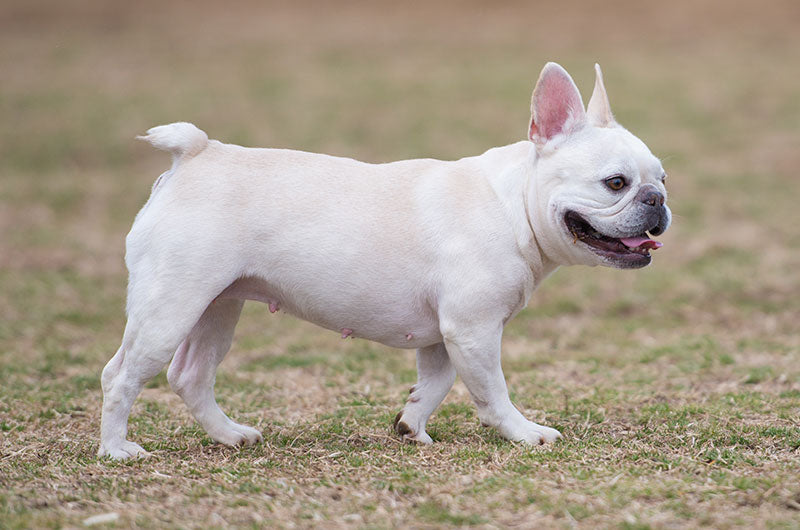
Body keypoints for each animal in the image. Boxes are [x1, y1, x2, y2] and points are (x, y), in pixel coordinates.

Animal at [98, 63, 668, 458]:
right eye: (616, 182)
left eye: (662, 177)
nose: (657, 200)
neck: (512, 205)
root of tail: (197, 153)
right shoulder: (474, 329)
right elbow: (492, 391)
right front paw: (523, 433)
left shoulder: (446, 336)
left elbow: (437, 383)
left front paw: (411, 425)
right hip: (169, 308)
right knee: (120, 376)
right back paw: (116, 450)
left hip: (217, 306)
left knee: (192, 375)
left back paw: (230, 435)